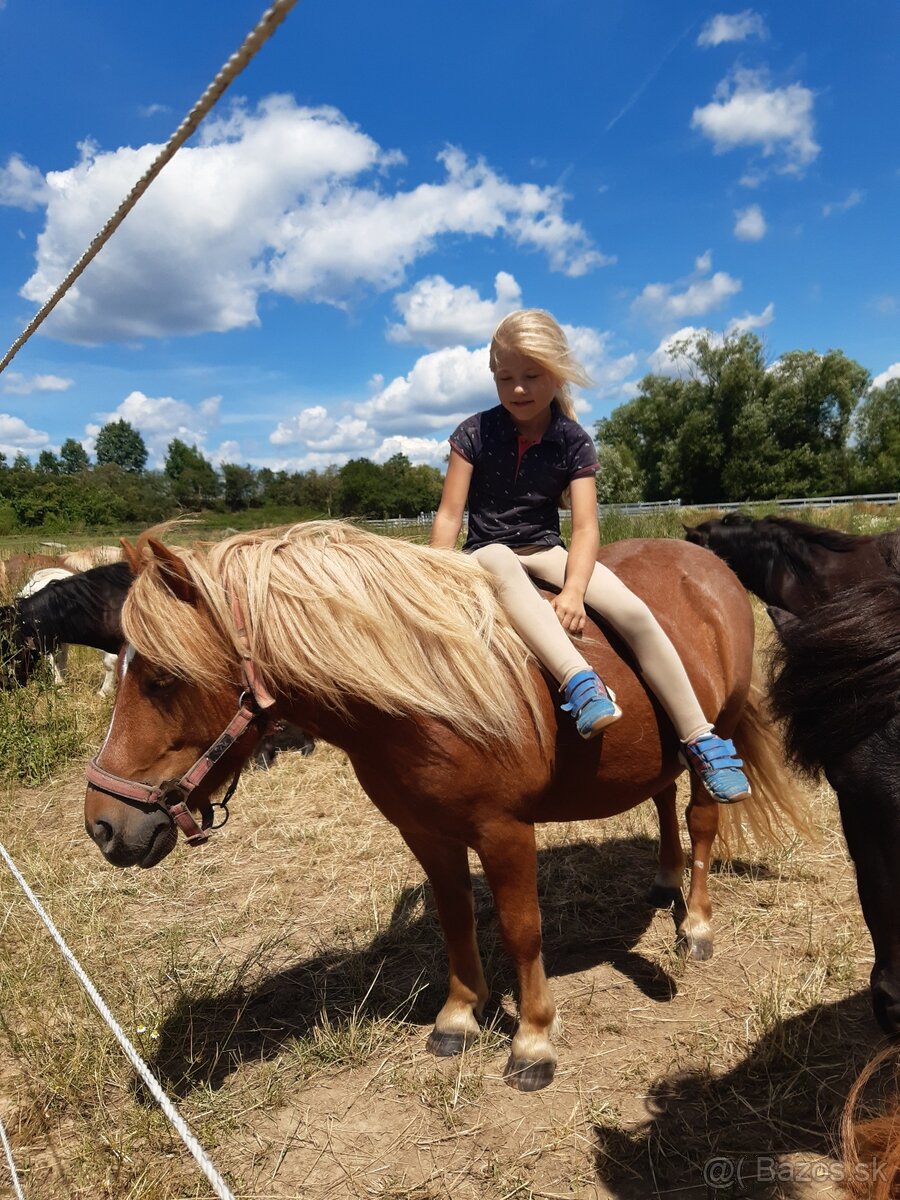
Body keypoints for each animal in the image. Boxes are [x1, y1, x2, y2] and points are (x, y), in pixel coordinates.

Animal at [82, 522, 807, 1091]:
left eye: (162, 679)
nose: (104, 825)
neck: (423, 691)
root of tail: (707, 562)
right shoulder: (426, 831)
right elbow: (455, 919)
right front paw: (460, 1016)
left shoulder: (504, 830)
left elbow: (522, 929)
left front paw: (533, 1043)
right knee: (660, 800)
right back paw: (662, 883)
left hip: (718, 726)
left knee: (701, 820)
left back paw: (696, 926)